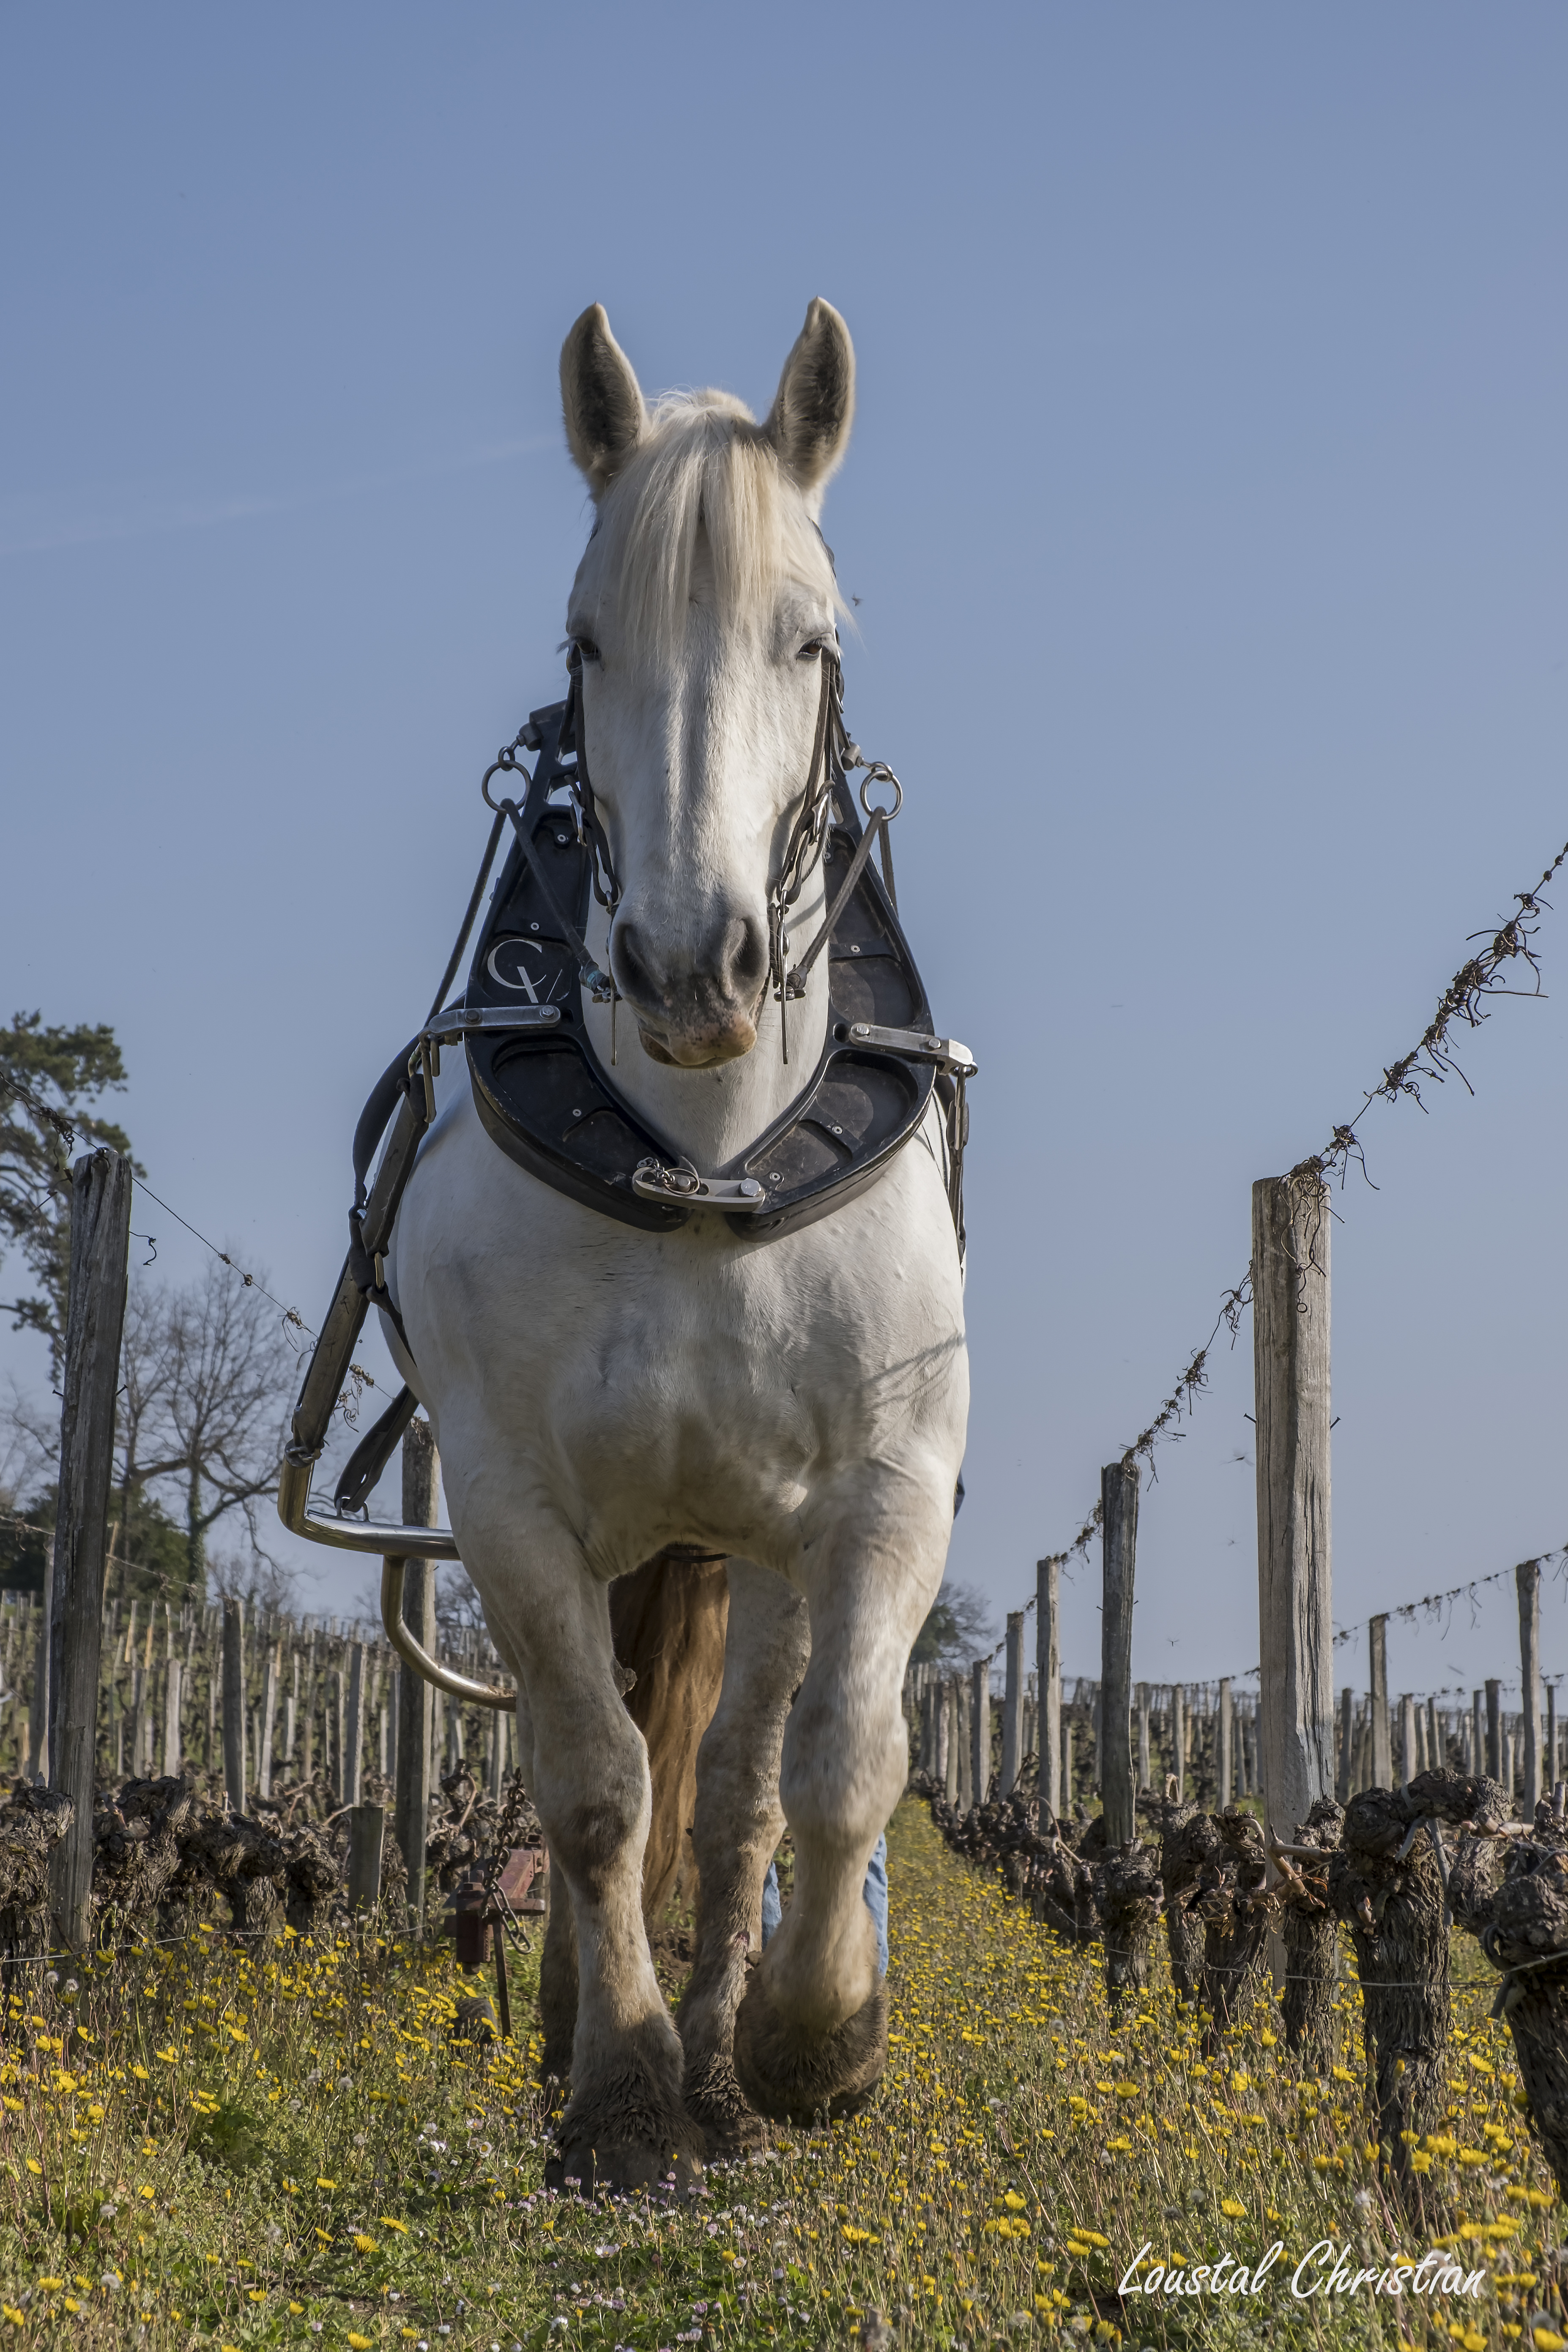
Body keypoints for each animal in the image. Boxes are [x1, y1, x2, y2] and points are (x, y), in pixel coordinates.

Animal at [385, 299, 970, 2190]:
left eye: (809, 636)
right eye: (589, 637)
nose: (686, 968)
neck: (700, 1159)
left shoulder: (881, 1489)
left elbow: (831, 1770)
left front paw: (806, 2038)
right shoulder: (509, 1501)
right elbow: (589, 1781)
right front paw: (622, 2081)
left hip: (756, 1545)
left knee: (734, 1790)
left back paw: (729, 2040)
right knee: (635, 1757)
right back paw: (603, 2016)